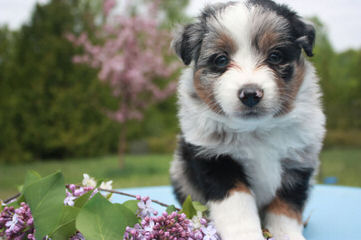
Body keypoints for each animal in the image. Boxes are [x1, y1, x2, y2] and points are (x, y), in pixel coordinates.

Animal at [170, 0, 324, 240]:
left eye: (275, 56)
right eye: (221, 59)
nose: (250, 93)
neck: (257, 130)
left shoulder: (298, 162)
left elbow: (285, 210)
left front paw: (287, 234)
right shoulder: (215, 160)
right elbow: (237, 206)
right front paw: (246, 234)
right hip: (180, 172)